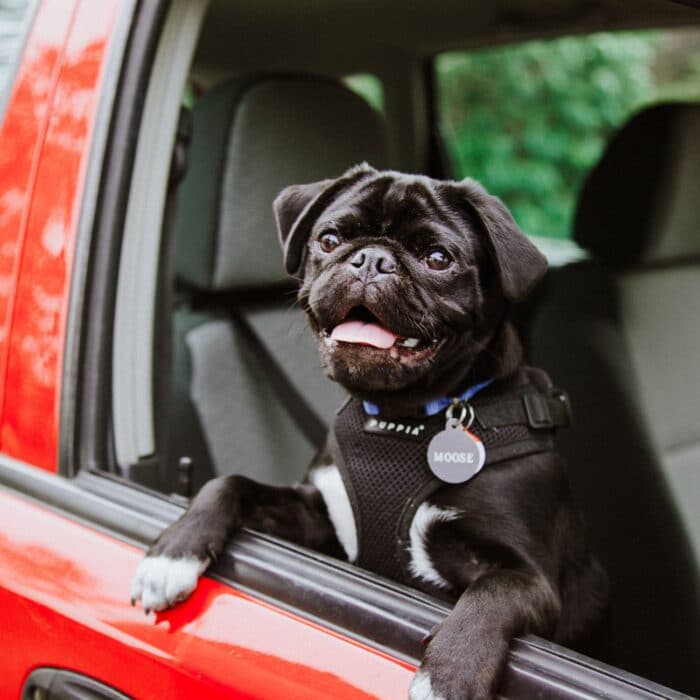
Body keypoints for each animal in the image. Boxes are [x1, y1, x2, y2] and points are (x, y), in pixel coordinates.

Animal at [130, 165, 608, 700]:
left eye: (438, 258)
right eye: (330, 239)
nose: (372, 259)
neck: (405, 419)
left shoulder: (532, 577)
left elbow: (492, 592)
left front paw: (449, 675)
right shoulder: (319, 518)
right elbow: (229, 483)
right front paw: (174, 551)